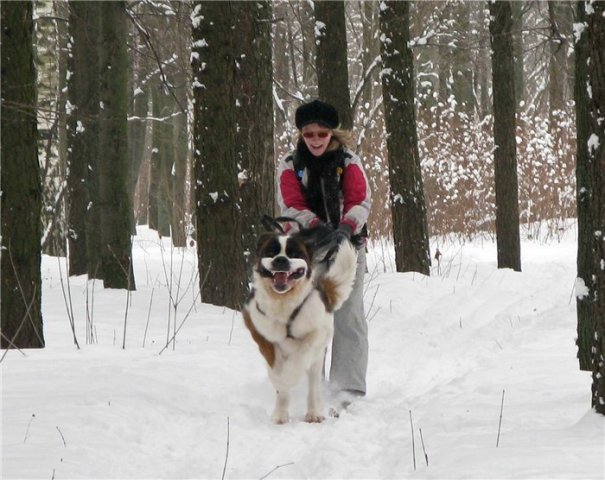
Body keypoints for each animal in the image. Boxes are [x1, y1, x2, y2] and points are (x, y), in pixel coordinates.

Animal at [242, 222, 356, 424]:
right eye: (271, 252)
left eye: (294, 253)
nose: (280, 260)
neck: (284, 302)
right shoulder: (257, 327)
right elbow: (273, 363)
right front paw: (280, 384)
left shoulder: (317, 332)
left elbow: (300, 356)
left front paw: (289, 376)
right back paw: (280, 414)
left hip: (318, 358)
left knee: (313, 385)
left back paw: (314, 413)